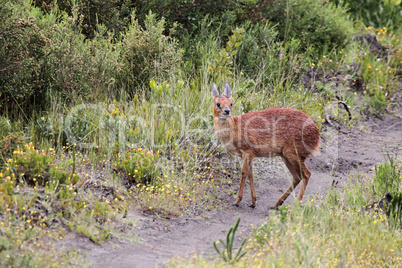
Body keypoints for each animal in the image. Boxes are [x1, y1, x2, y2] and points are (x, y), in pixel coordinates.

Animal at [210, 81, 320, 209]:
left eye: (231, 103)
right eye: (218, 104)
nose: (227, 111)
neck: (235, 127)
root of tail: (317, 134)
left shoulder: (248, 151)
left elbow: (244, 172)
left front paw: (237, 201)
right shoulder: (250, 155)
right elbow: (250, 174)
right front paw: (253, 202)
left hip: (293, 154)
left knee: (307, 174)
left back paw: (296, 204)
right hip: (286, 156)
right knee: (297, 177)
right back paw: (277, 204)